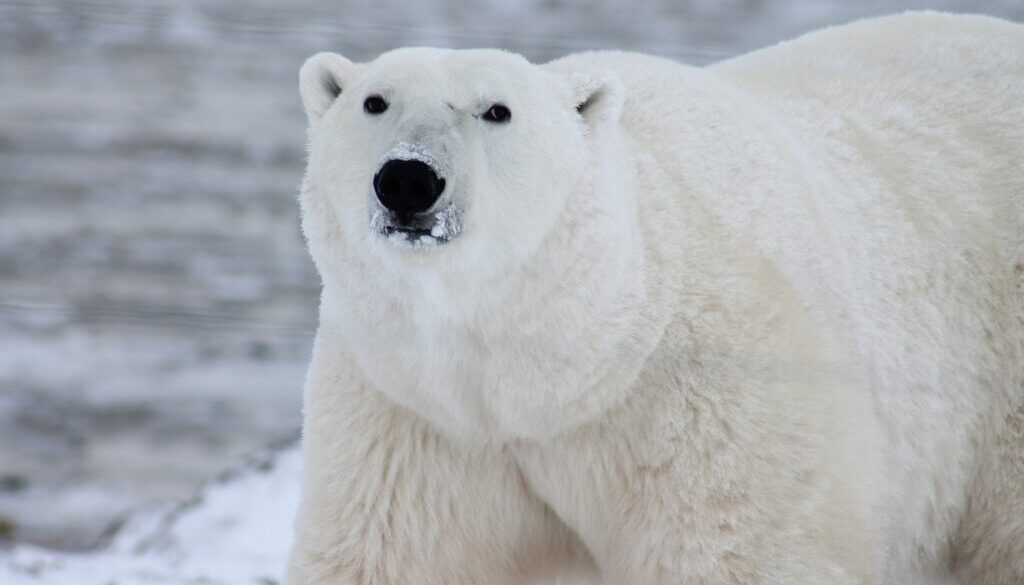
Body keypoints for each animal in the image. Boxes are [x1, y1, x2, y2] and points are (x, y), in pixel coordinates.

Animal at [286, 12, 1024, 585]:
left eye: (496, 110)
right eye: (374, 101)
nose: (408, 180)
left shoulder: (710, 398)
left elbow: (738, 552)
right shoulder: (414, 414)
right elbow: (390, 553)